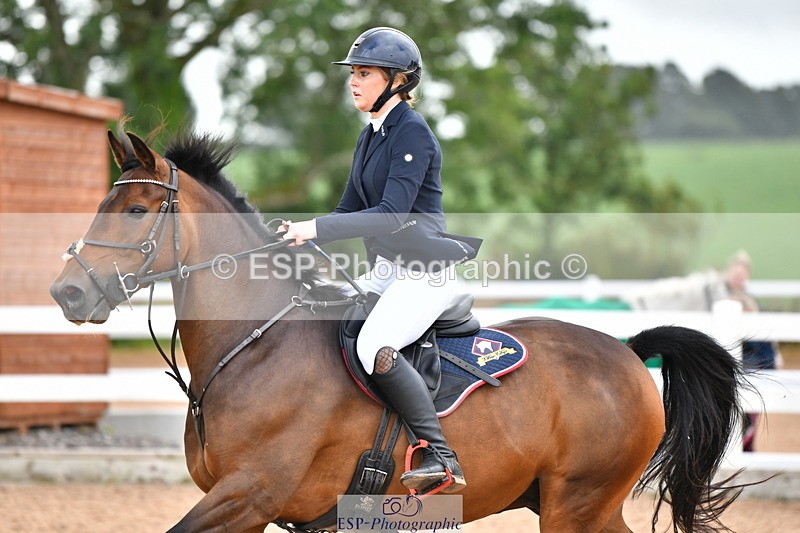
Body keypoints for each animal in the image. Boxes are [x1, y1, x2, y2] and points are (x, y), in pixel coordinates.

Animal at [50, 129, 752, 533]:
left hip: (577, 506)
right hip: (578, 507)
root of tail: (628, 353)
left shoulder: (249, 495)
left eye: (136, 210)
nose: (67, 292)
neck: (254, 345)